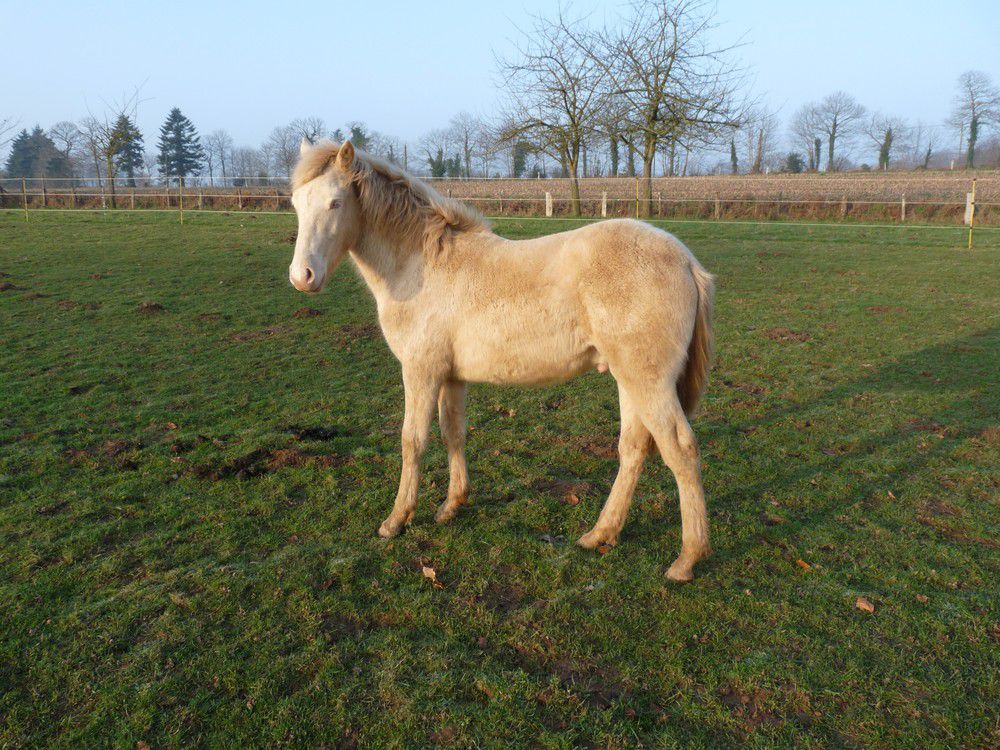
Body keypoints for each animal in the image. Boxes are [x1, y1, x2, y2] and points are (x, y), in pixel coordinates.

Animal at [287, 139, 715, 581]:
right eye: (296, 203)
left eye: (335, 202)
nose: (302, 277)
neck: (422, 265)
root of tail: (686, 260)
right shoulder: (451, 376)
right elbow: (453, 433)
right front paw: (451, 505)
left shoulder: (421, 371)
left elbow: (413, 440)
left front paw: (396, 520)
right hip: (628, 379)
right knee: (633, 448)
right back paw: (600, 533)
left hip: (648, 381)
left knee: (680, 450)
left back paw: (687, 558)